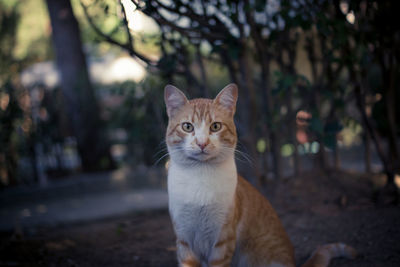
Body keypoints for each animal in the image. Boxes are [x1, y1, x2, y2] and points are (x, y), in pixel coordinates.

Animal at [162, 84, 356, 267]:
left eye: (215, 126)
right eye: (187, 127)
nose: (202, 143)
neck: (200, 176)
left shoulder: (222, 240)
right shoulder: (184, 240)